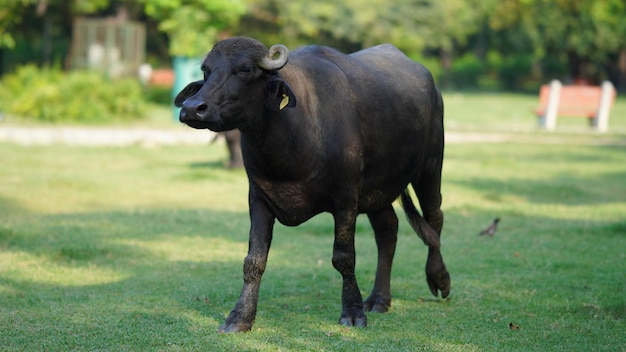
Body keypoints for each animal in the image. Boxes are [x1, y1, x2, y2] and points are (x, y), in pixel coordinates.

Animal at [176, 36, 448, 332]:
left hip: (430, 167)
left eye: (245, 69)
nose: (192, 108)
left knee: (434, 218)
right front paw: (239, 317)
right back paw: (379, 299)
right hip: (379, 190)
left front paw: (352, 312)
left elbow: (344, 257)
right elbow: (254, 260)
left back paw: (439, 278)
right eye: (206, 70)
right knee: (388, 230)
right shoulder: (258, 199)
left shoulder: (346, 200)